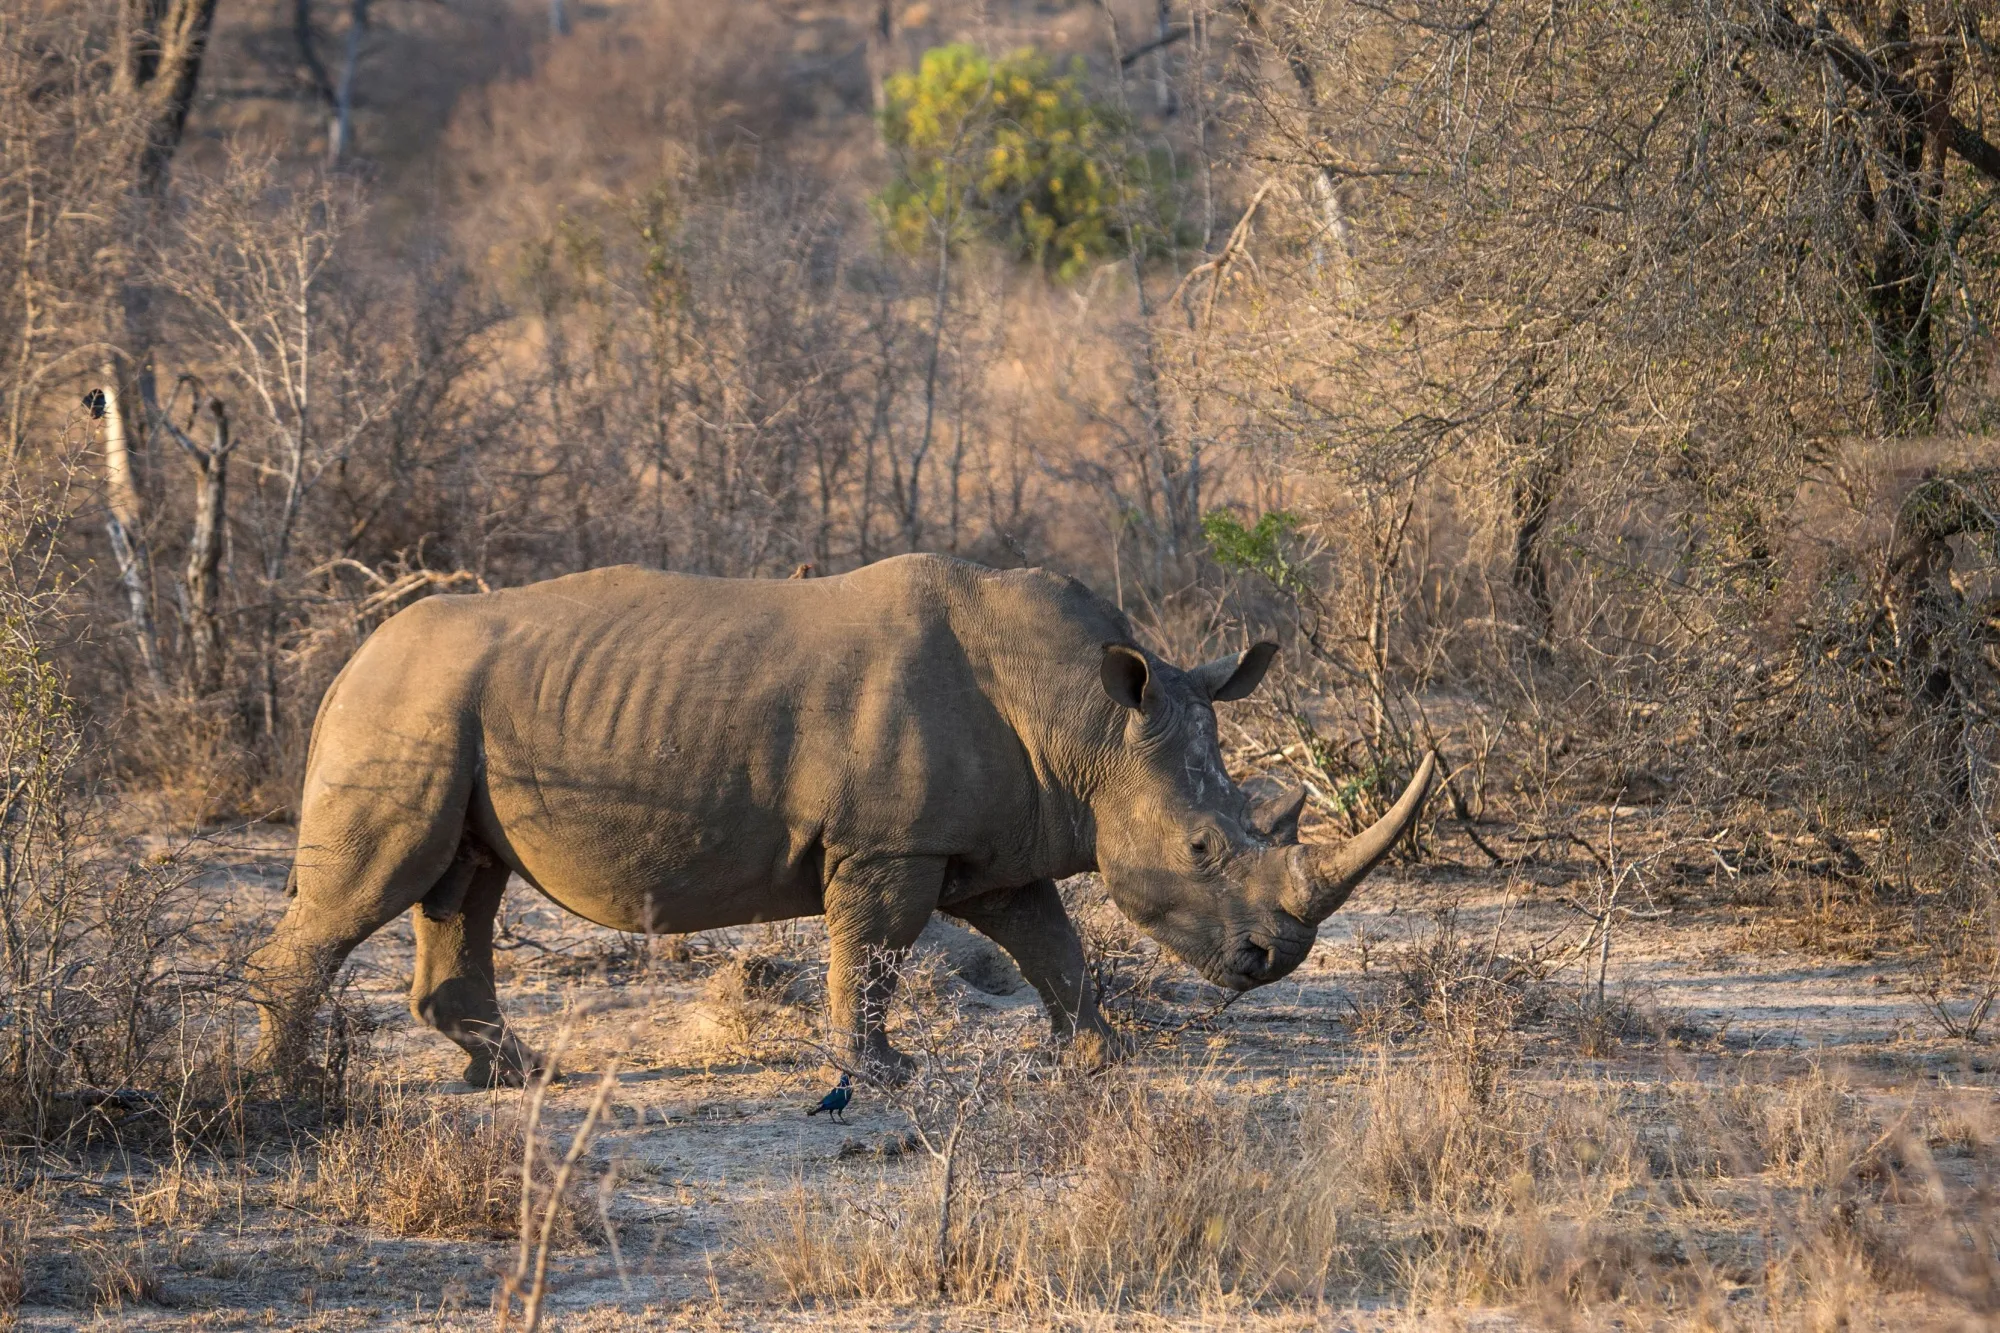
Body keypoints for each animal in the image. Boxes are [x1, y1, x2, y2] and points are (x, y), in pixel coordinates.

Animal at [249, 554, 1435, 1085]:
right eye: (1201, 846)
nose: (1268, 962)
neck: (1090, 722)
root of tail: (348, 659)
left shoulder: (994, 845)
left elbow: (1052, 946)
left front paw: (1103, 1050)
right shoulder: (886, 844)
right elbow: (872, 954)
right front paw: (883, 1076)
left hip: (441, 712)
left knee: (465, 884)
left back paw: (520, 1075)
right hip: (404, 708)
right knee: (384, 883)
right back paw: (295, 1090)